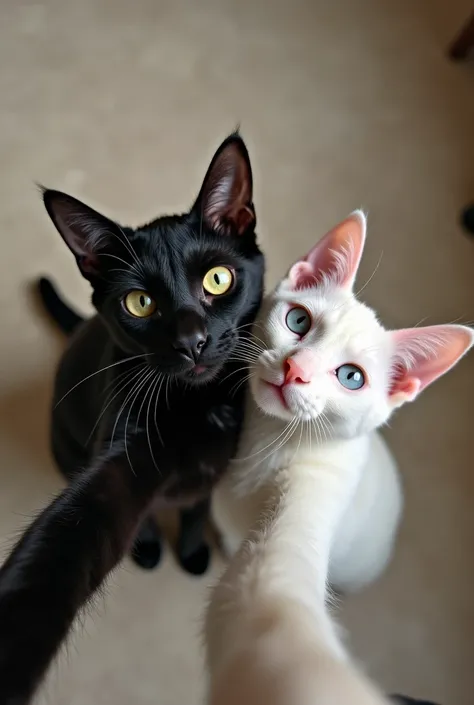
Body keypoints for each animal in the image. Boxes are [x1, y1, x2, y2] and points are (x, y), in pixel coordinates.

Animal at [38, 129, 262, 576]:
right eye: (140, 303)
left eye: (218, 279)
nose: (191, 340)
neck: (195, 406)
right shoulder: (119, 452)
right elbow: (140, 518)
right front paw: (147, 551)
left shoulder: (213, 473)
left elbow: (196, 511)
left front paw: (192, 554)